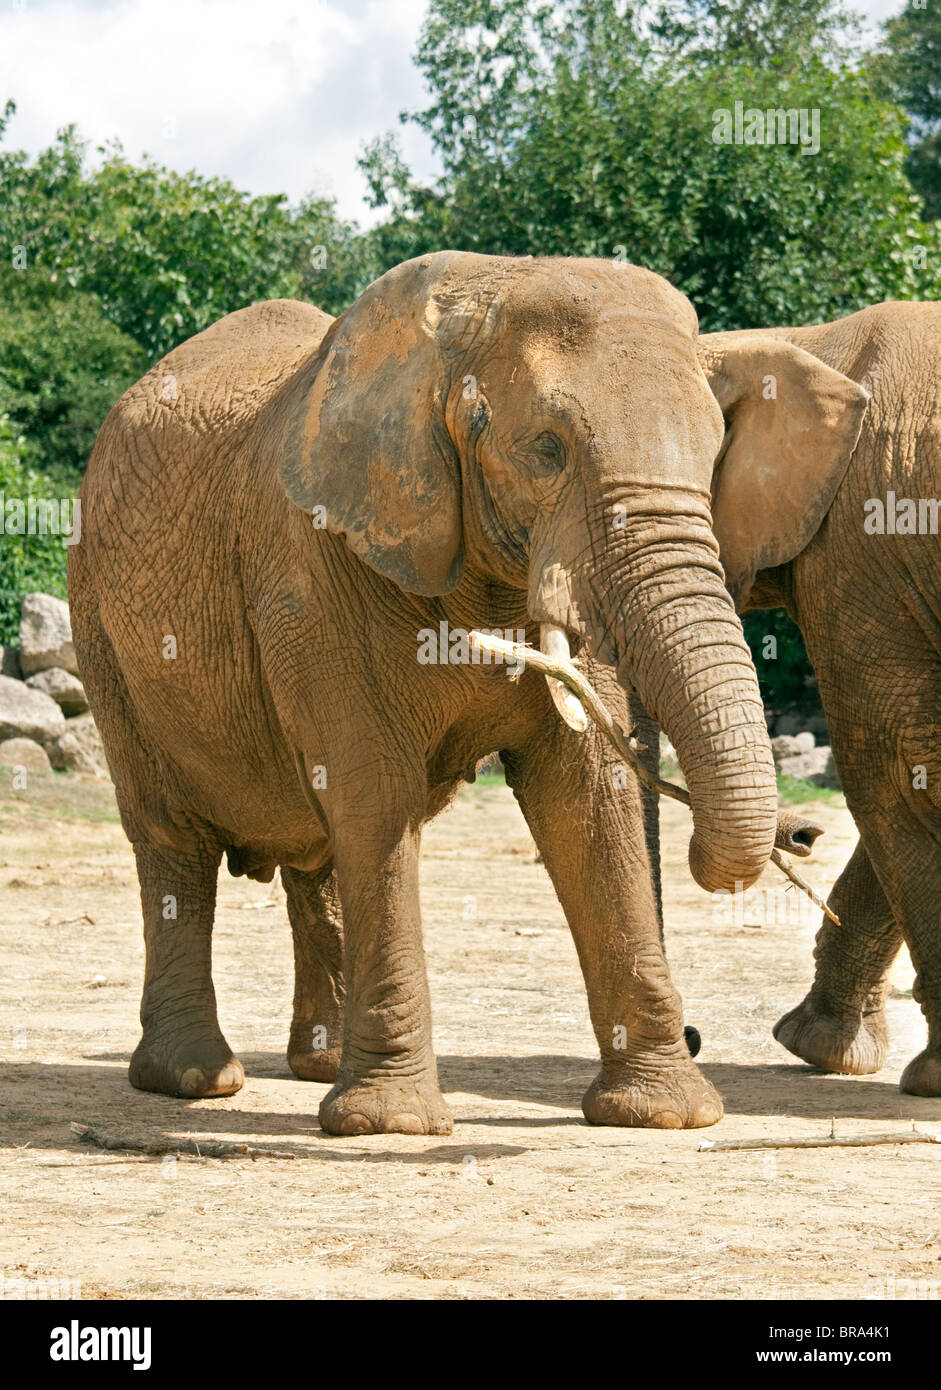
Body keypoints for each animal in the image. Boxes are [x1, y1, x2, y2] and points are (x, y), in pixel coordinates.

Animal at [69, 252, 866, 1135]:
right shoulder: (311, 569)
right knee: (172, 837)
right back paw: (195, 1081)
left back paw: (318, 1067)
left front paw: (665, 1114)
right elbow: (374, 787)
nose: (802, 834)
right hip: (100, 627)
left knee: (316, 844)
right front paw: (392, 1127)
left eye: (714, 457)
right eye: (546, 450)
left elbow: (588, 797)